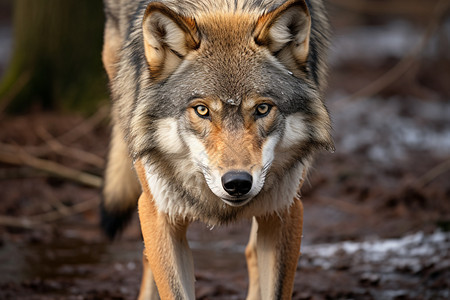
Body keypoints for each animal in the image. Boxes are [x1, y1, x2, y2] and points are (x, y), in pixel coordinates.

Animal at [101, 0, 334, 298]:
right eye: (202, 110)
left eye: (262, 108)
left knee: (250, 252)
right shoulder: (159, 212)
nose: (237, 183)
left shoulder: (286, 211)